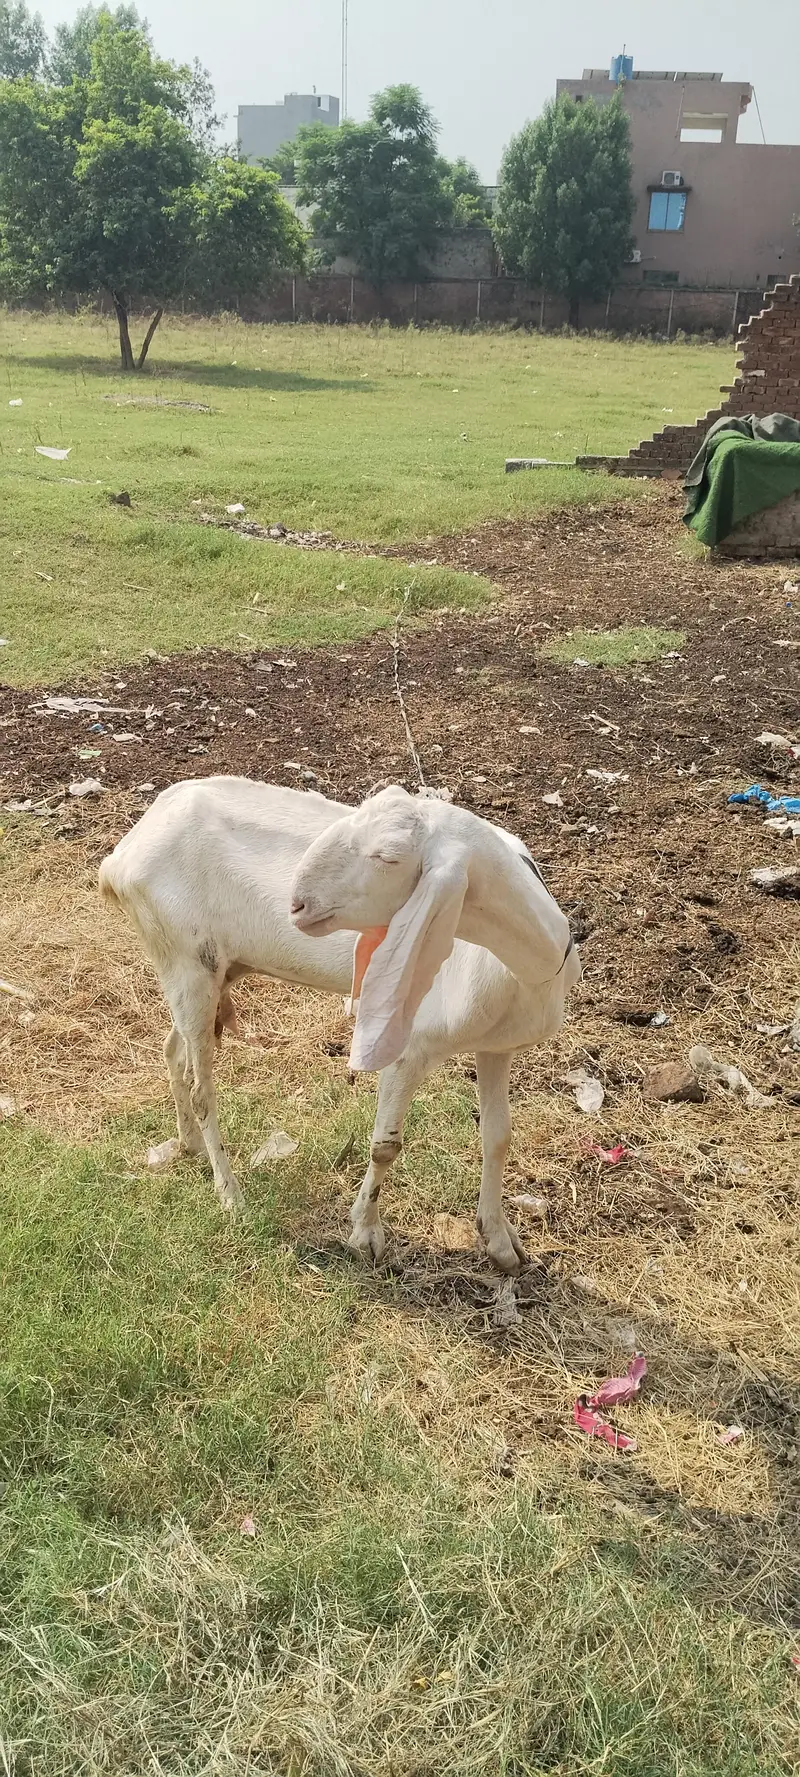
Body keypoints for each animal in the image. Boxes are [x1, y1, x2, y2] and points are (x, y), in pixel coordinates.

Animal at [99, 779, 580, 1274]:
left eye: (388, 857)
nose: (297, 904)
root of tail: (120, 858)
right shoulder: (410, 1047)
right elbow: (385, 1145)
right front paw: (365, 1234)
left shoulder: (496, 1047)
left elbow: (498, 1136)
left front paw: (500, 1241)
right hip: (185, 959)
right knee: (201, 1091)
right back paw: (231, 1197)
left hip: (207, 969)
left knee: (172, 1049)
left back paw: (189, 1143)